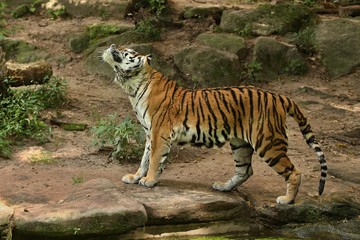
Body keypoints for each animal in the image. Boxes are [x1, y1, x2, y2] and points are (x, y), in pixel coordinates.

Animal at [101, 44, 326, 203]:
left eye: (127, 51)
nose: (112, 45)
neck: (132, 84)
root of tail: (279, 96)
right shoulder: (150, 133)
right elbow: (145, 158)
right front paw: (135, 176)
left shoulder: (159, 132)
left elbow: (155, 158)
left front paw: (149, 180)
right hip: (240, 143)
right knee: (245, 170)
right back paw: (223, 187)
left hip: (268, 142)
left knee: (294, 172)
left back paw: (287, 200)